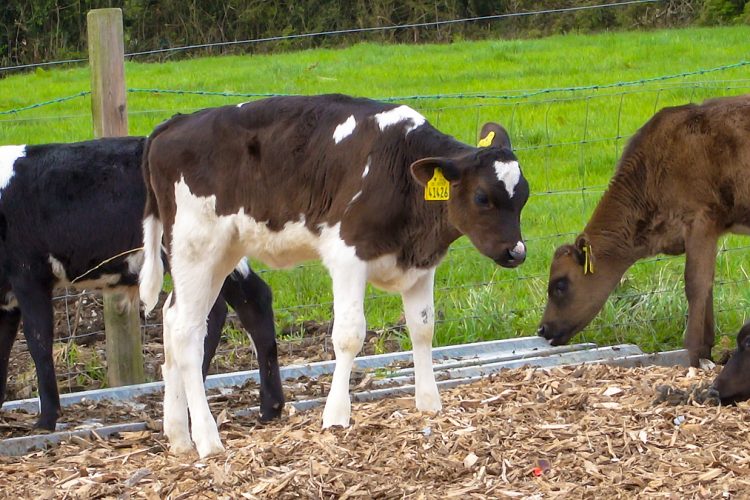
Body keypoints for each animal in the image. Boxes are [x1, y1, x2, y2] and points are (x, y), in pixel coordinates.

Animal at [0, 137, 284, 431]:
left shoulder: (29, 275)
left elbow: (38, 341)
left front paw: (45, 420)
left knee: (215, 312)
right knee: (253, 300)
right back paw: (269, 407)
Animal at [138, 93, 529, 457]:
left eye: (523, 197)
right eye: (482, 198)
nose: (517, 252)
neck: (398, 165)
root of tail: (176, 122)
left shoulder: (421, 263)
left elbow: (423, 328)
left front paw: (429, 404)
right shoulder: (348, 255)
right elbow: (349, 335)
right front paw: (336, 416)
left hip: (220, 254)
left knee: (172, 319)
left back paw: (179, 436)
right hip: (196, 246)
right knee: (187, 332)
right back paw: (207, 440)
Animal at [537, 94, 750, 368]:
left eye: (560, 284)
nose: (542, 329)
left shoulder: (700, 220)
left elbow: (695, 284)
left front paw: (692, 352)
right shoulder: (711, 230)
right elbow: (707, 285)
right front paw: (706, 352)